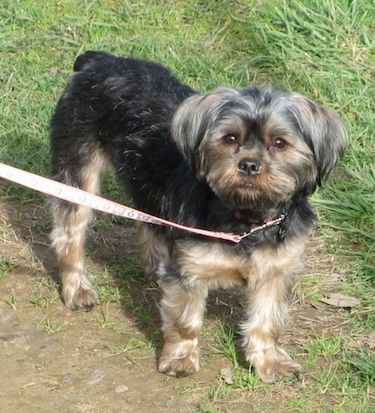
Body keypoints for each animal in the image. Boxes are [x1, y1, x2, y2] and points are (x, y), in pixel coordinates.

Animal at [50, 51, 350, 384]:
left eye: (279, 143)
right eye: (229, 139)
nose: (249, 164)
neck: (246, 220)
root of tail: (99, 61)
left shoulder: (276, 269)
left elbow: (267, 320)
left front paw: (270, 361)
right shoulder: (190, 272)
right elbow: (186, 321)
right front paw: (180, 358)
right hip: (77, 165)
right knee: (69, 233)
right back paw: (78, 289)